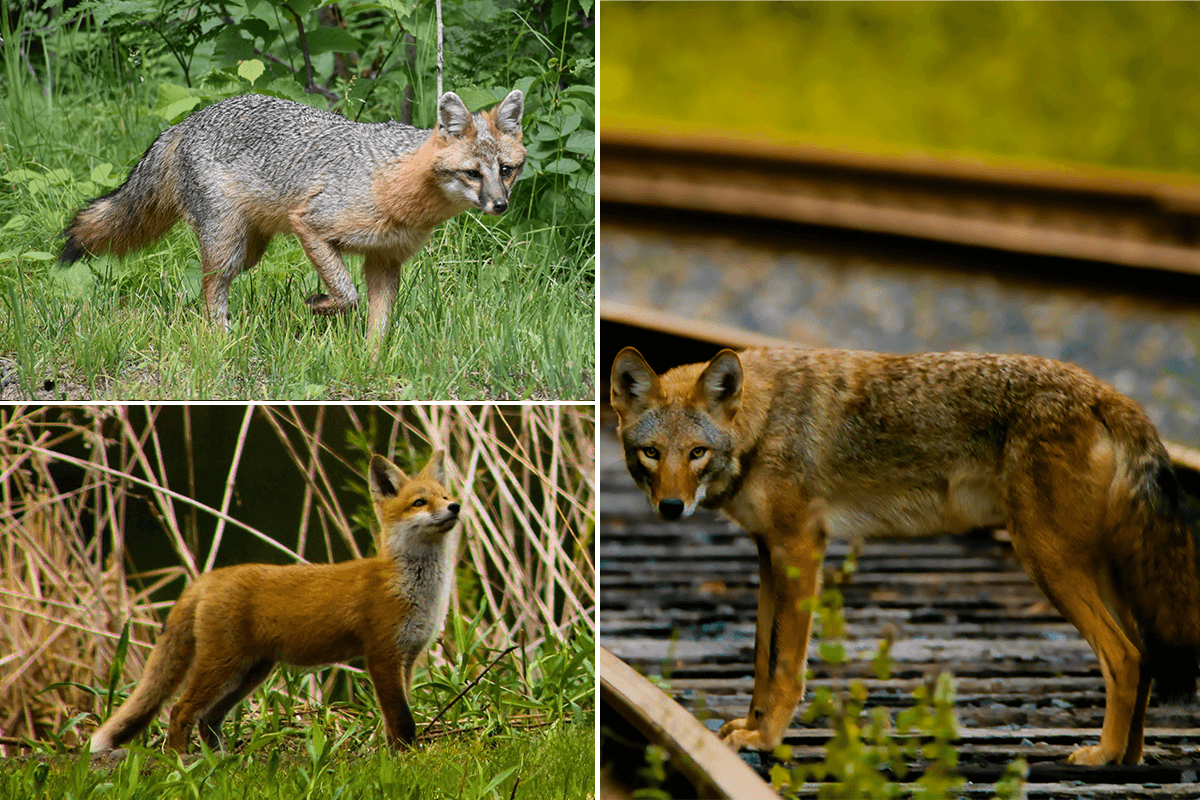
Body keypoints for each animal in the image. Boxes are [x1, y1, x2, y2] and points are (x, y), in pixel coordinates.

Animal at [58, 92, 523, 343]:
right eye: (472, 173)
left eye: (506, 170)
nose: (499, 205)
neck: (394, 182)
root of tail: (187, 121)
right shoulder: (311, 225)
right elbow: (347, 295)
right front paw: (318, 305)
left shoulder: (385, 260)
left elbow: (378, 326)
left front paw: (371, 363)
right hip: (227, 246)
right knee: (210, 289)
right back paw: (221, 340)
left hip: (249, 252)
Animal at [87, 453, 458, 753]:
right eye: (419, 502)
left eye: (445, 496)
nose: (455, 507)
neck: (415, 589)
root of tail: (210, 577)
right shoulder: (382, 655)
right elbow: (402, 719)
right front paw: (406, 759)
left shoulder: (407, 657)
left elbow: (397, 720)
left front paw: (396, 757)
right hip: (222, 666)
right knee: (180, 711)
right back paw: (180, 761)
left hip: (248, 673)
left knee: (207, 719)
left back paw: (221, 761)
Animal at [609, 347, 1200, 767]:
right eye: (651, 453)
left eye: (697, 453)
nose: (670, 507)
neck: (765, 420)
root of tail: (1107, 394)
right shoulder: (767, 553)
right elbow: (761, 660)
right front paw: (748, 728)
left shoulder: (801, 548)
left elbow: (787, 668)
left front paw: (768, 738)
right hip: (1093, 570)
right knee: (1144, 654)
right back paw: (1129, 756)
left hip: (1048, 561)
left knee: (1124, 656)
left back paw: (1103, 756)